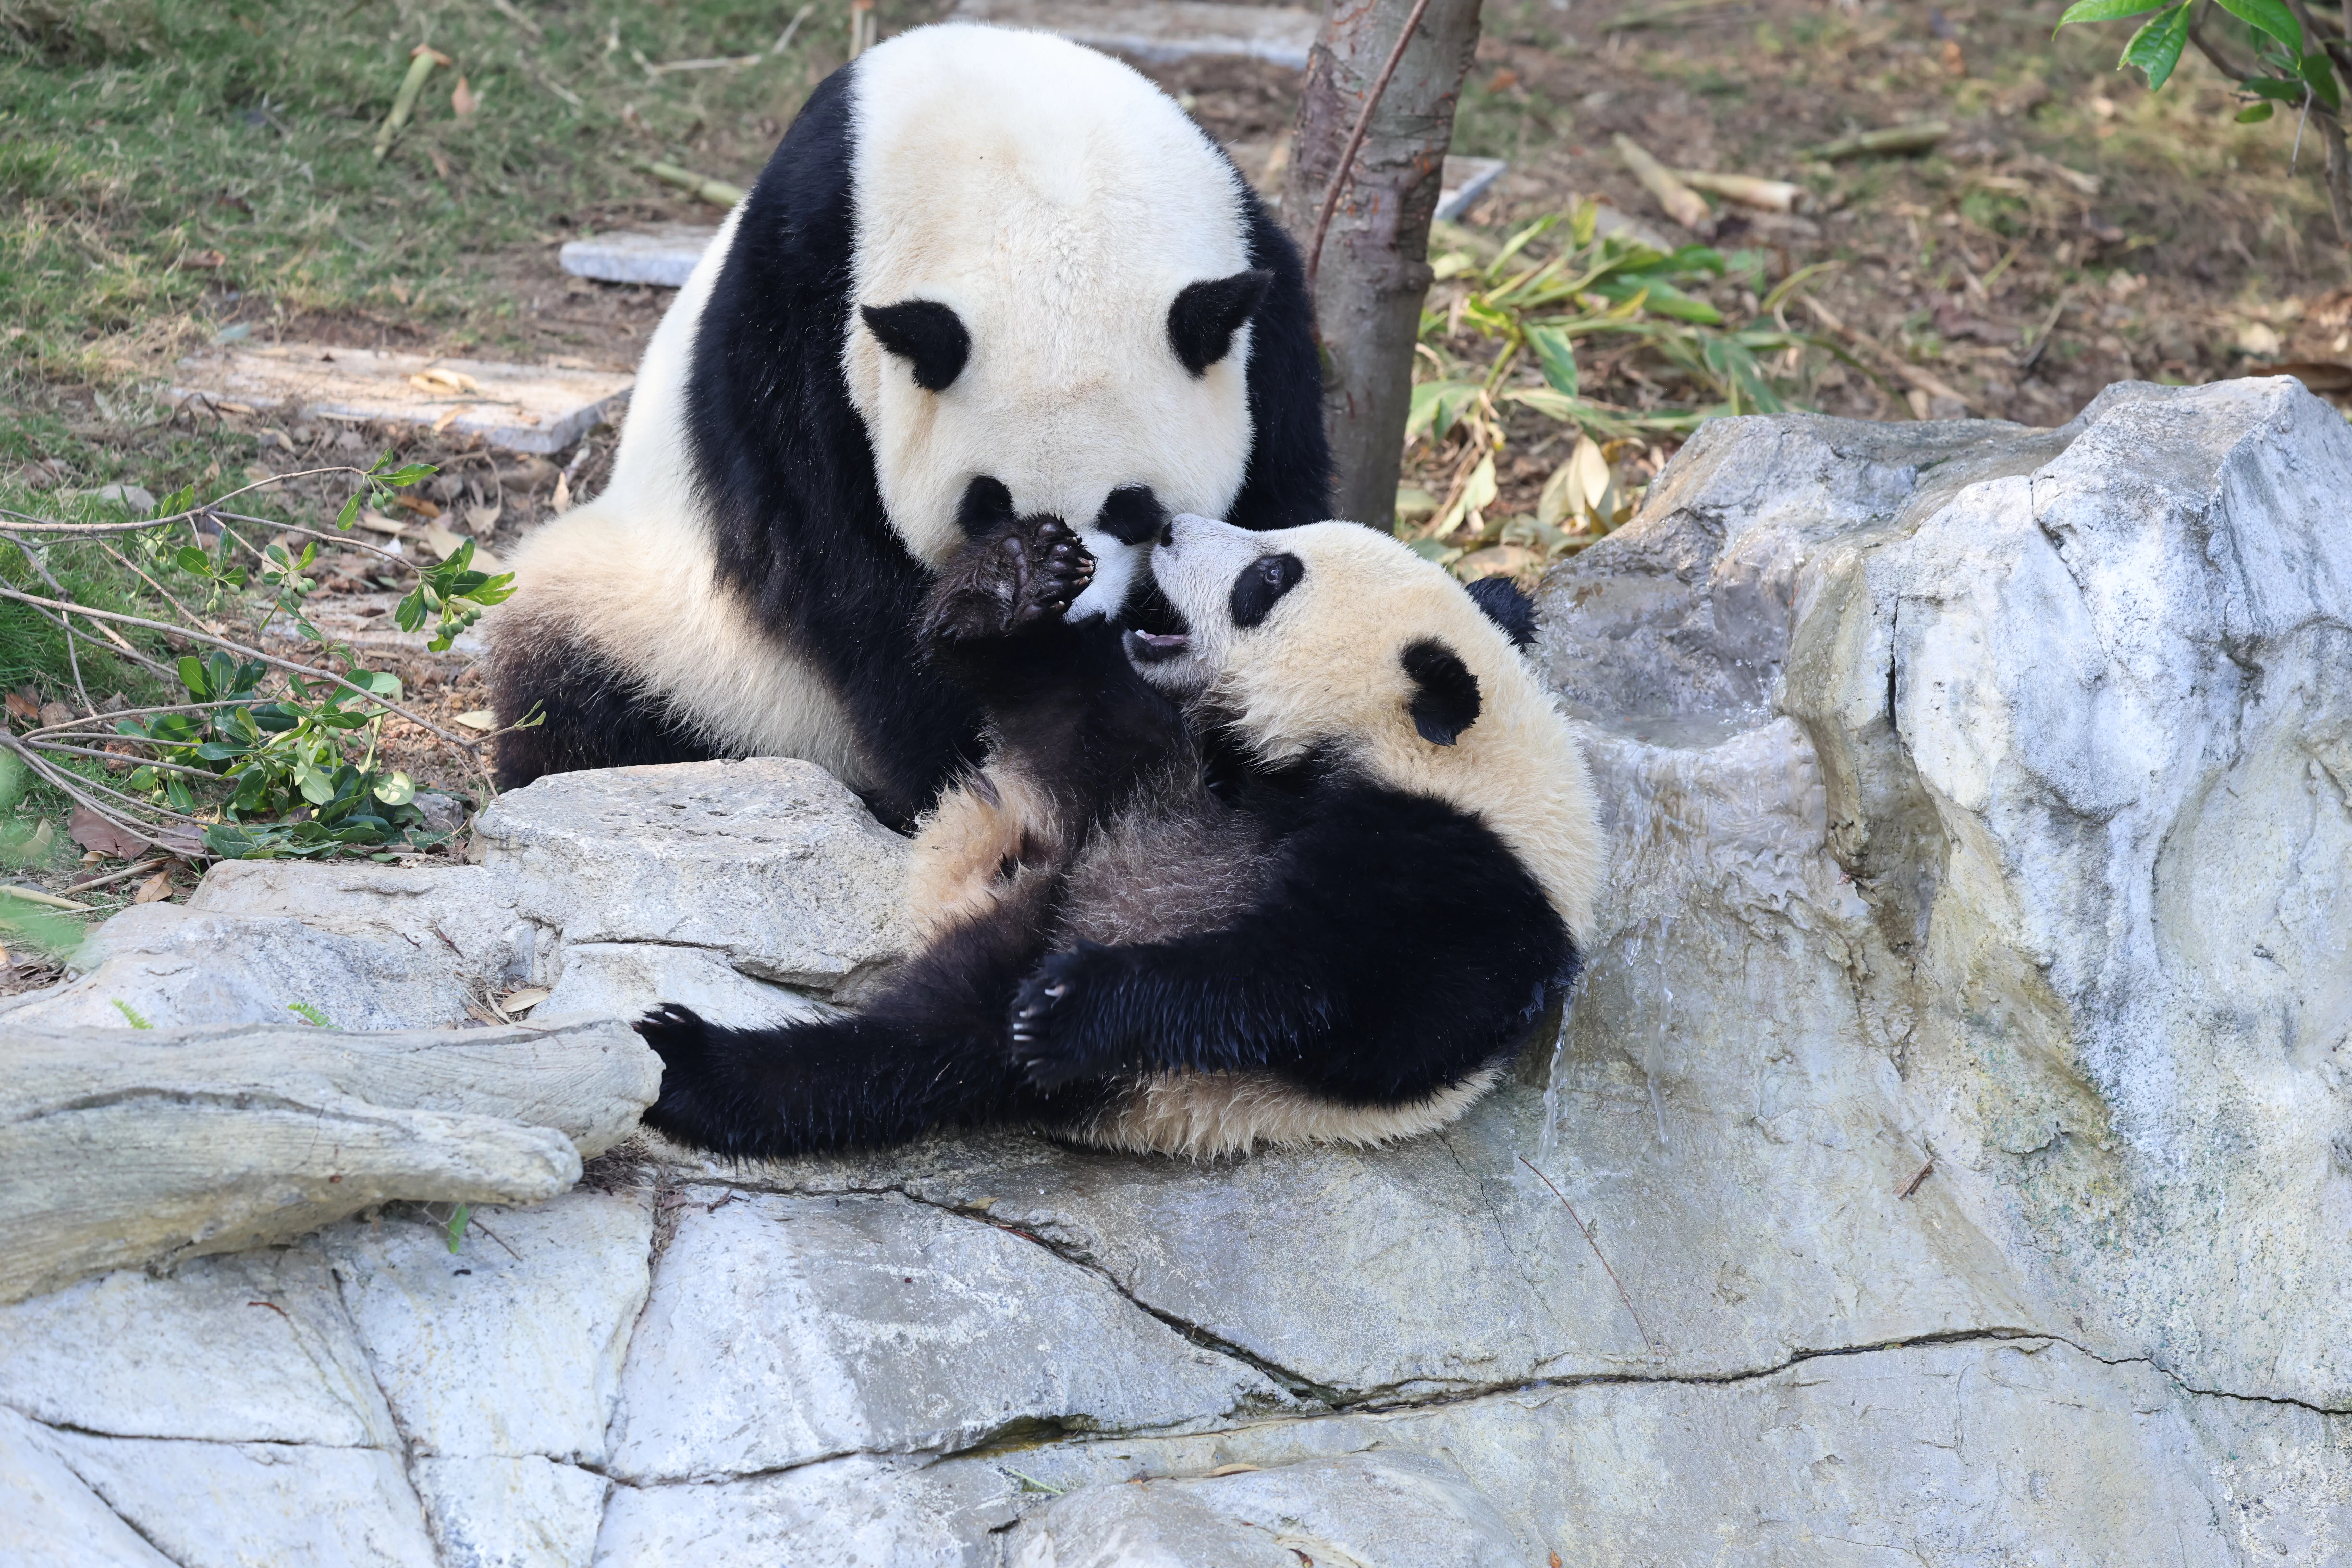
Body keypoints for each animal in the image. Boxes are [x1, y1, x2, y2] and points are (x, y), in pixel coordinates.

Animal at [485, 24, 1329, 830]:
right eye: (985, 504)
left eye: (1133, 506)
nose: (1070, 616)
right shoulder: (805, 307)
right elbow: (839, 571)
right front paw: (983, 716)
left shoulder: (1267, 317)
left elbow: (1275, 504)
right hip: (676, 628)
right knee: (577, 687)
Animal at [632, 504, 1604, 1160]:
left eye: (1269, 581)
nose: (1167, 526)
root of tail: (999, 873)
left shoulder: (1459, 901)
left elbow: (1294, 987)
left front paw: (1075, 1004)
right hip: (1136, 773)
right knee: (1064, 691)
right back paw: (1006, 592)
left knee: (909, 1059)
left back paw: (695, 1067)